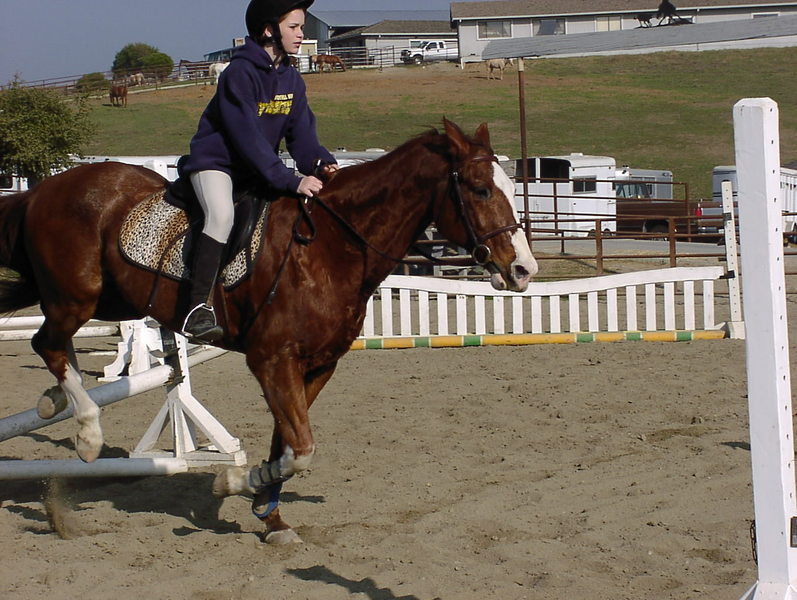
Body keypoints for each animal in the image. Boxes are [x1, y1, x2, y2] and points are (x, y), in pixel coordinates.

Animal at [0, 119, 537, 543]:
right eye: (480, 189)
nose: (524, 271)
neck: (332, 246)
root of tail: (43, 189)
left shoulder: (317, 365)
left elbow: (289, 442)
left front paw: (267, 511)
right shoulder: (272, 359)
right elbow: (302, 447)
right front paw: (235, 483)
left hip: (106, 298)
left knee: (53, 343)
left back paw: (53, 401)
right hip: (77, 296)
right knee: (47, 342)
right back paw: (88, 434)